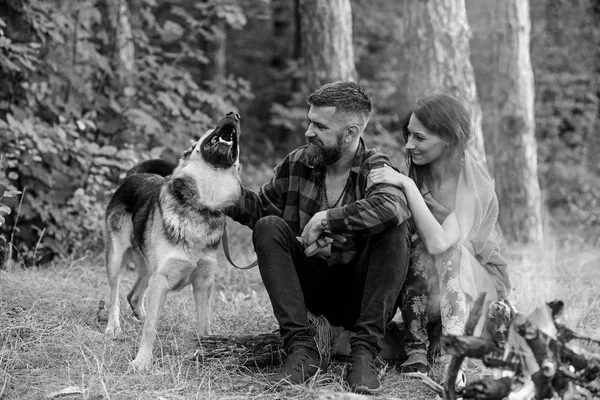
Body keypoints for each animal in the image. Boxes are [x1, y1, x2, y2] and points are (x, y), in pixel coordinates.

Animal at [103, 111, 241, 370]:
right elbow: (149, 331)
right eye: (211, 126)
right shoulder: (162, 279)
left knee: (134, 296)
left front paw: (206, 352)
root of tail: (135, 174)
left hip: (149, 267)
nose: (234, 114)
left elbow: (204, 325)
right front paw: (142, 361)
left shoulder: (204, 282)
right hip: (117, 257)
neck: (203, 205)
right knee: (115, 293)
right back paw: (113, 327)